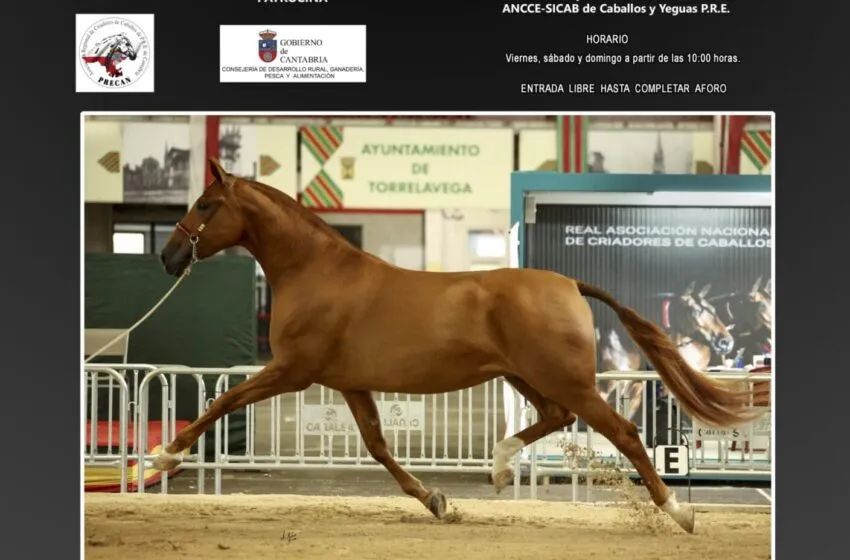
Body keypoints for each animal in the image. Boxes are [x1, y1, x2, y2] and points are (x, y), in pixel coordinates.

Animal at [153, 159, 766, 534]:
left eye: (205, 205)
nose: (168, 256)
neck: (316, 272)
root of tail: (569, 283)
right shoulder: (350, 383)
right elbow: (378, 447)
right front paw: (437, 502)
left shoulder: (291, 370)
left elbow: (223, 400)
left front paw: (165, 453)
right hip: (525, 376)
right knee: (555, 417)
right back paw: (498, 465)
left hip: (565, 379)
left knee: (622, 432)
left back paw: (679, 514)